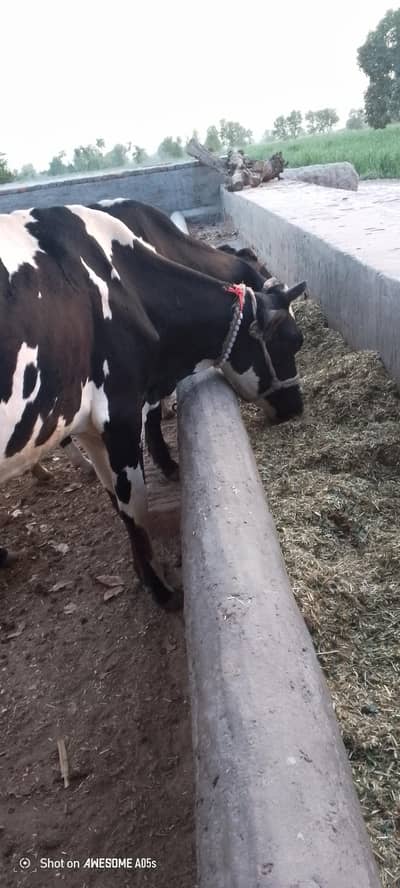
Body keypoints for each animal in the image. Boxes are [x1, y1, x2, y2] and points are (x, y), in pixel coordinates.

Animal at [0, 205, 306, 608]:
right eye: (293, 341)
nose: (297, 407)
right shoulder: (120, 412)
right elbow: (136, 506)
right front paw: (160, 589)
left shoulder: (92, 424)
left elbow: (119, 503)